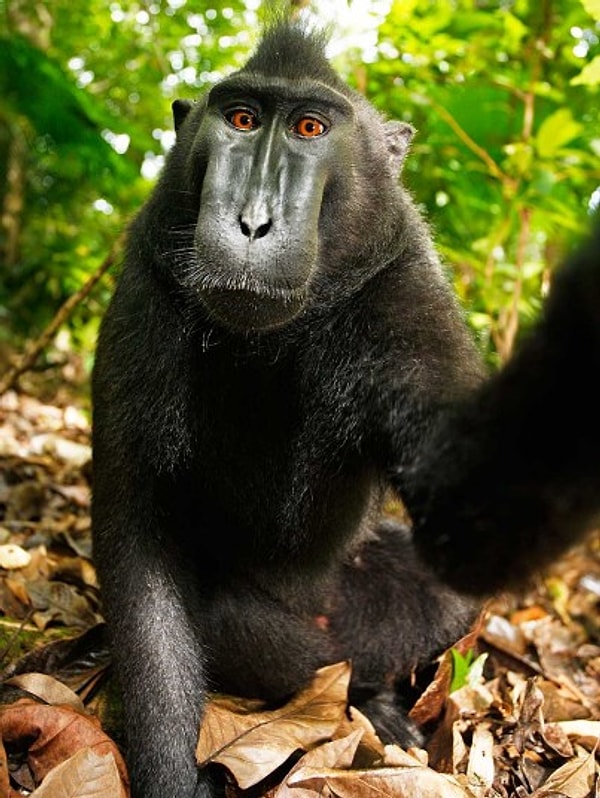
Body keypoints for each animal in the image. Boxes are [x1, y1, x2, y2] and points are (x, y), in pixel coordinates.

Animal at [90, 20, 600, 798]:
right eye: (242, 119)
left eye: (309, 128)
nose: (253, 222)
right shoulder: (146, 289)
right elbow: (138, 541)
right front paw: (172, 778)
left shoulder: (404, 288)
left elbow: (468, 519)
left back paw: (379, 703)